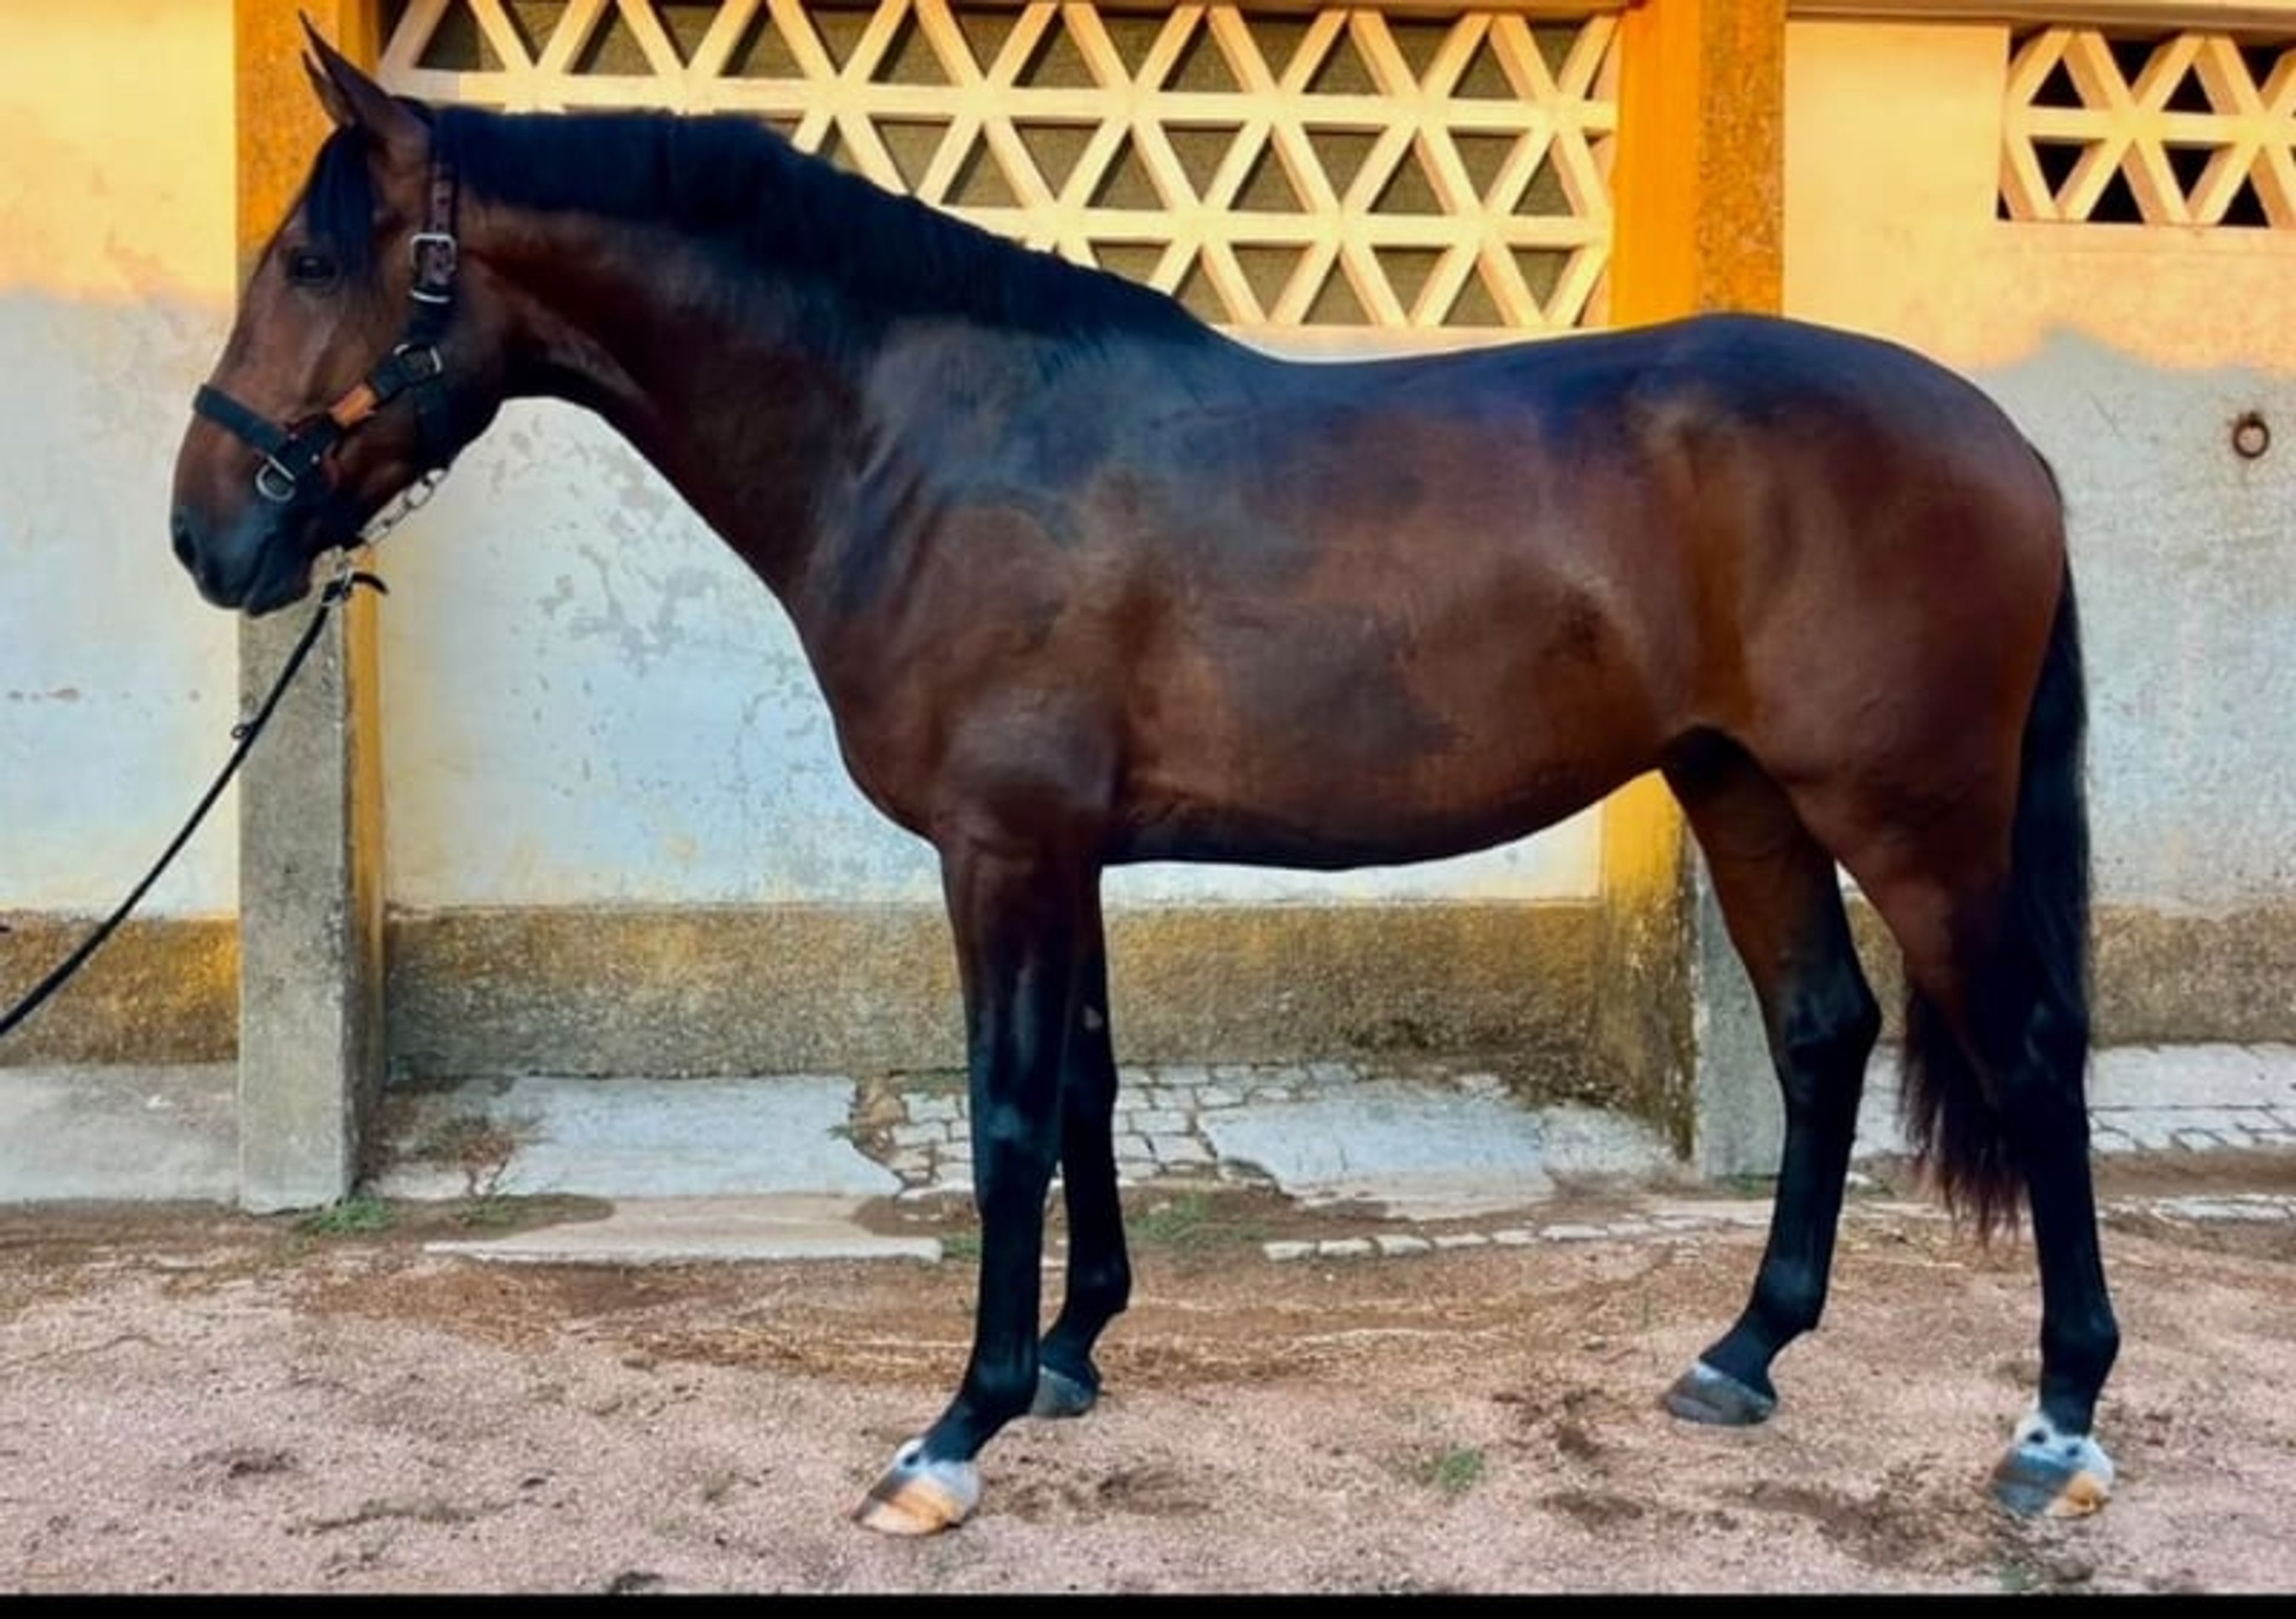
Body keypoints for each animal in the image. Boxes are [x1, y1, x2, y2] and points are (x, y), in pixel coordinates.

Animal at [168, 27, 2120, 1535]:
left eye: (315, 264)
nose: (209, 536)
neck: (927, 435)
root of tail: (2007, 444)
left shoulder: (999, 849)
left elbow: (1009, 1112)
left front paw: (954, 1429)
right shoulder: (1066, 849)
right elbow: (1091, 1086)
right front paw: (1069, 1351)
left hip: (1911, 816)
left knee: (2028, 1054)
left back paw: (2055, 1426)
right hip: (1739, 787)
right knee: (1817, 1031)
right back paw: (1739, 1353)